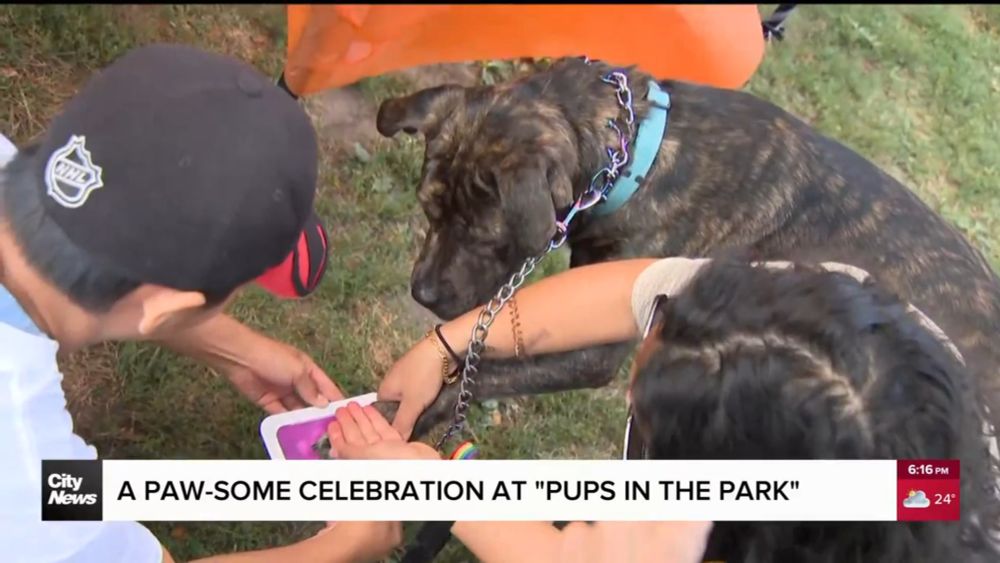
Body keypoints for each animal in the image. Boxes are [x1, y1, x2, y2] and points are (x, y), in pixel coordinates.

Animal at [370, 58, 1000, 462]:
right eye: (428, 211)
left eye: (482, 236)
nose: (422, 294)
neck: (633, 156)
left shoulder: (599, 352)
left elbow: (488, 373)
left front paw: (406, 412)